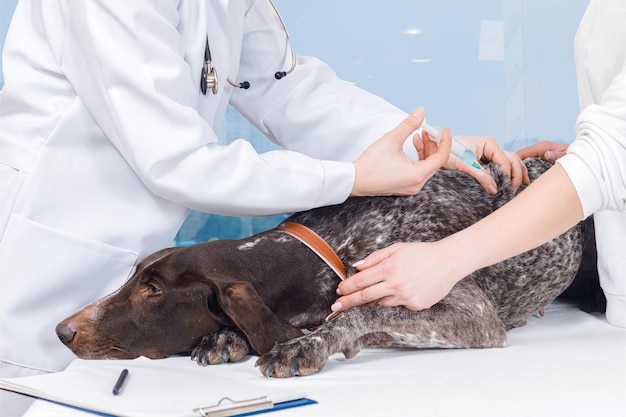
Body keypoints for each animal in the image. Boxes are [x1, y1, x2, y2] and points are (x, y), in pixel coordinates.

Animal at [57, 158, 600, 376]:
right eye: (133, 276)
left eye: (153, 290)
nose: (62, 330)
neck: (327, 245)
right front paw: (225, 337)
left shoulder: (472, 313)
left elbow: (363, 311)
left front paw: (311, 342)